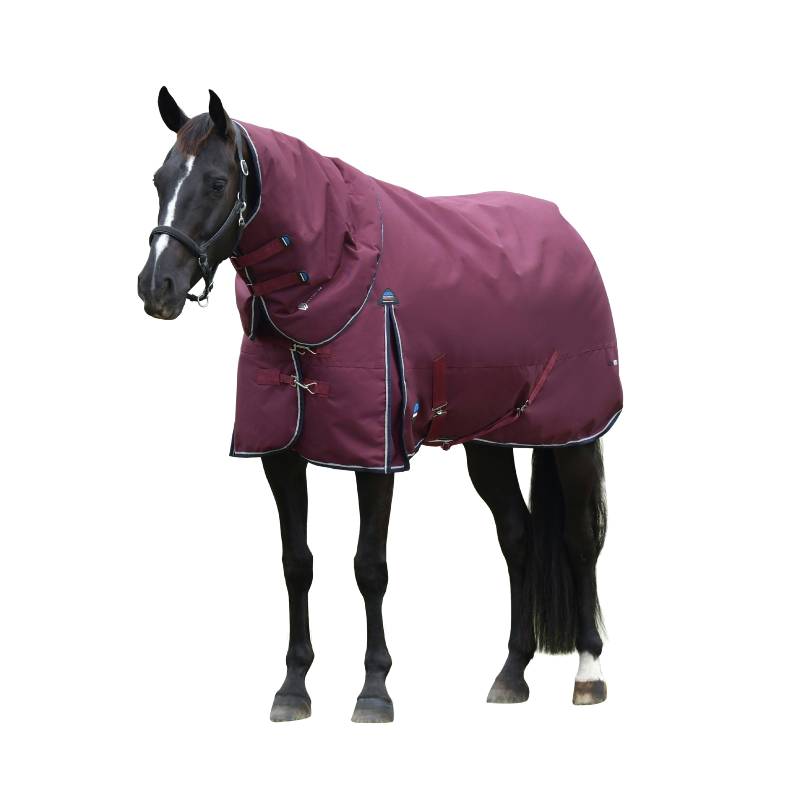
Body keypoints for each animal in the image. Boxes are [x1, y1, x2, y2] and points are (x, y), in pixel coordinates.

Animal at [137, 87, 619, 722]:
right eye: (159, 178)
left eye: (217, 182)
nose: (155, 287)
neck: (333, 277)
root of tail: (568, 235)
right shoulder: (279, 455)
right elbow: (297, 563)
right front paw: (293, 687)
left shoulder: (375, 454)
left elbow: (370, 567)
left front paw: (374, 689)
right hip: (489, 440)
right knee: (516, 535)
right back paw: (511, 674)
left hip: (574, 435)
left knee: (580, 540)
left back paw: (588, 674)